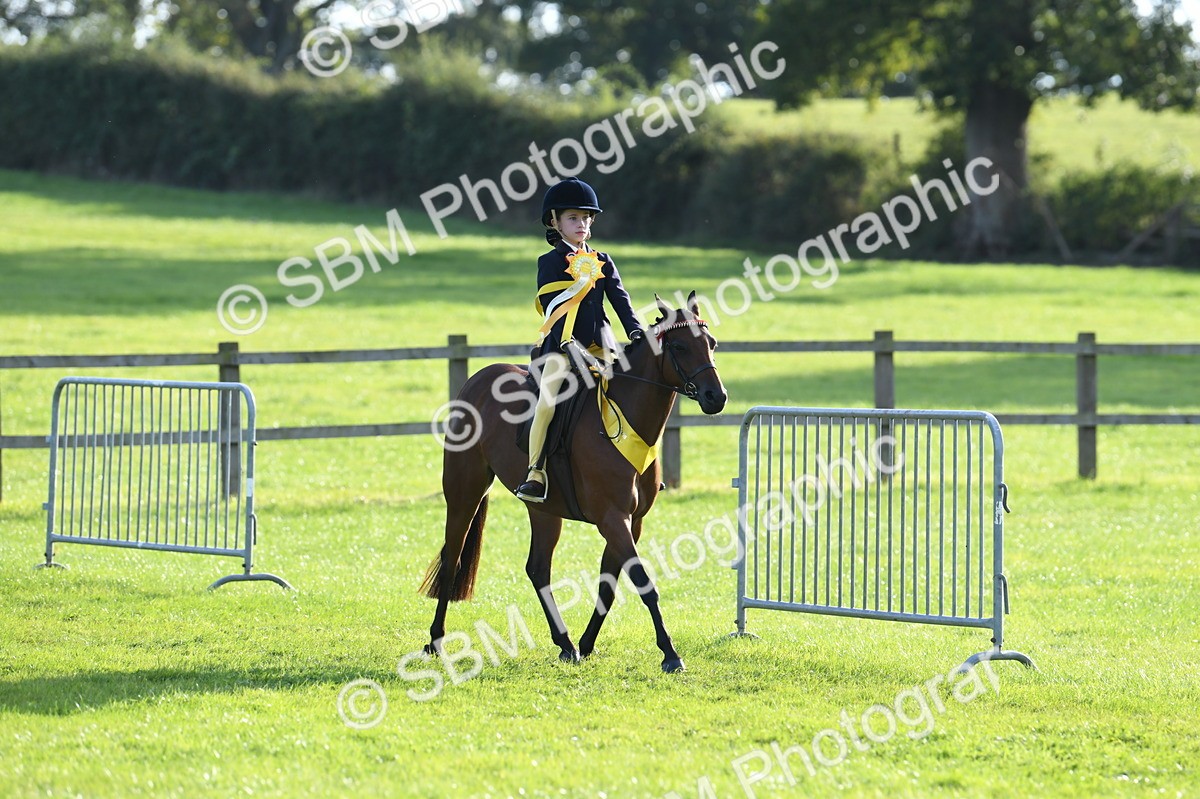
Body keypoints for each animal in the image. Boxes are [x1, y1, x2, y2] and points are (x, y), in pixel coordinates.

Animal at [419, 292, 728, 673]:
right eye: (681, 346)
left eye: (711, 344)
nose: (716, 397)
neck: (624, 417)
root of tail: (477, 380)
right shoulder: (612, 518)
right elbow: (644, 583)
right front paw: (670, 653)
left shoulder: (632, 522)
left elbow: (609, 585)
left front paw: (586, 643)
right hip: (465, 490)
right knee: (453, 560)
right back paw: (436, 640)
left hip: (544, 510)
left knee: (538, 568)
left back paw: (565, 643)